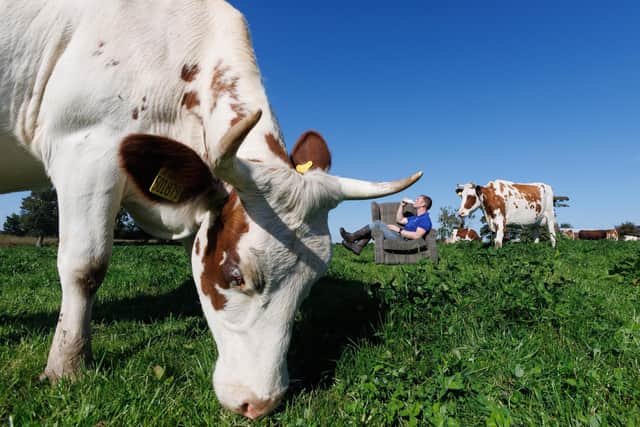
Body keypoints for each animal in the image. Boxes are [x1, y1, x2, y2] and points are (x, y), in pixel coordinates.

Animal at [0, 1, 422, 419]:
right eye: (235, 275)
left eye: (311, 284)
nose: (260, 403)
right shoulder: (84, 146)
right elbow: (85, 267)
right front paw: (66, 367)